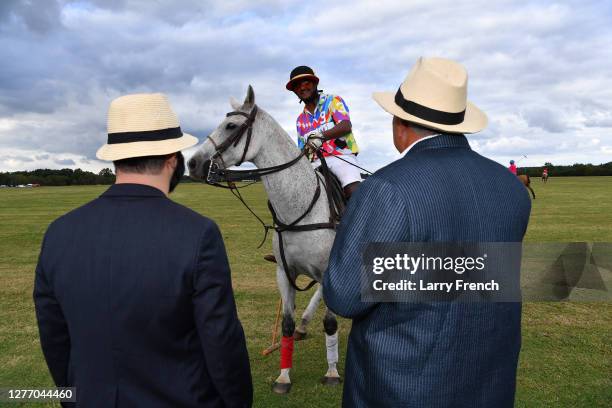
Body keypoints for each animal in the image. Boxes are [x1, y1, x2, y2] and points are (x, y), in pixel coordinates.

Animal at [188, 85, 340, 392]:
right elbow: (286, 324)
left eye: (231, 126)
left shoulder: (328, 268)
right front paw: (283, 376)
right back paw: (305, 324)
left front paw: (331, 373)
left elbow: (330, 323)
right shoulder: (284, 272)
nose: (193, 163)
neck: (300, 208)